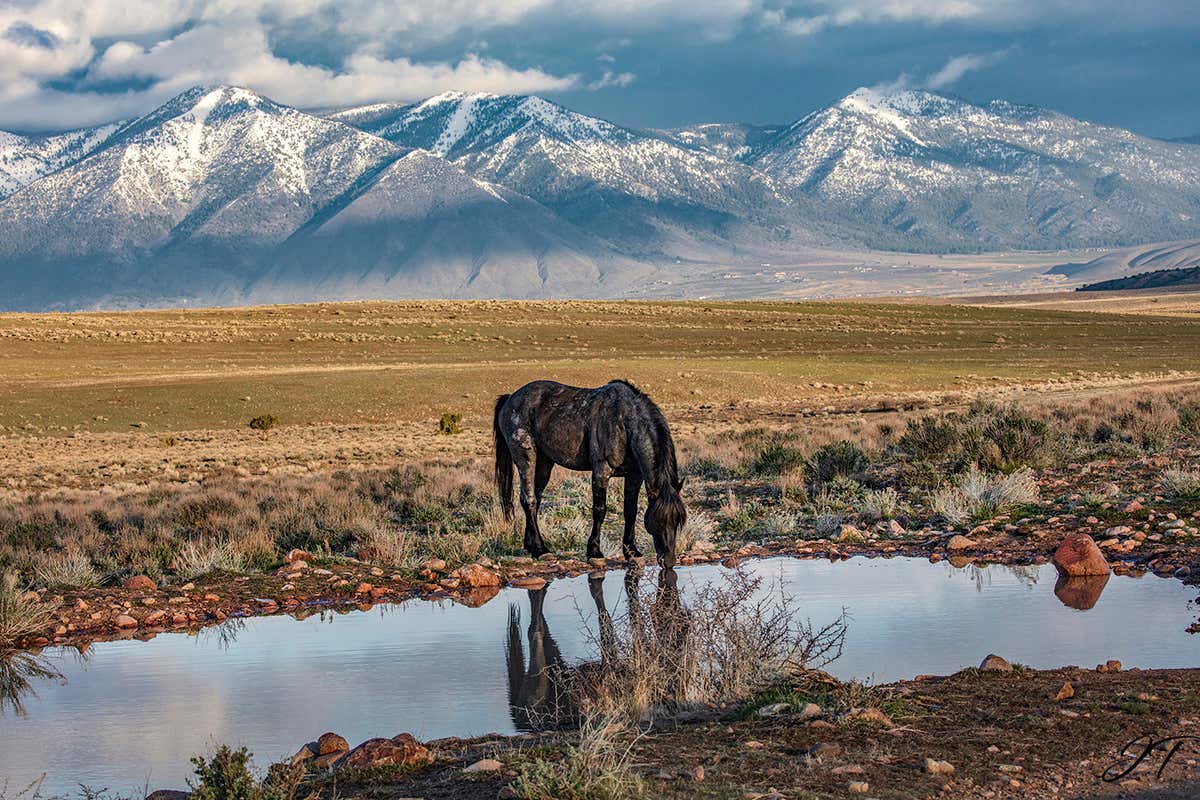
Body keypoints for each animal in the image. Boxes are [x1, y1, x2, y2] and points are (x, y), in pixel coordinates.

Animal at [493, 379, 687, 568]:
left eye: (678, 521)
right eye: (659, 520)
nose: (669, 560)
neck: (624, 424)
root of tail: (510, 398)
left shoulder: (634, 476)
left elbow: (630, 511)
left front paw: (631, 551)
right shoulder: (601, 472)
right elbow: (599, 510)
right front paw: (594, 552)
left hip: (544, 463)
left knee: (536, 498)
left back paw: (531, 545)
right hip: (526, 458)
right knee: (529, 499)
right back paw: (541, 550)